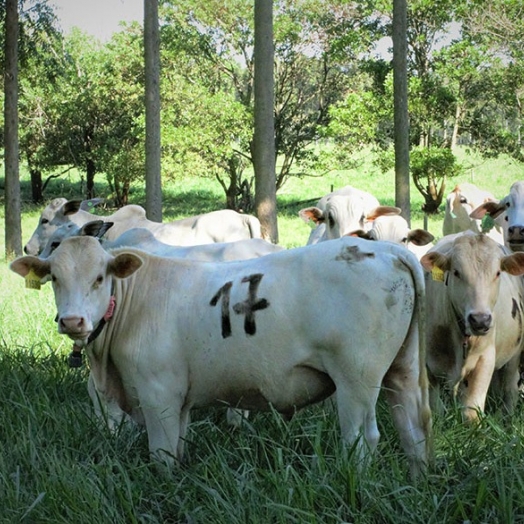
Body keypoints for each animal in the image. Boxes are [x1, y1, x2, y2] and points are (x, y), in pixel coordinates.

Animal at [10, 235, 432, 476]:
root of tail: (388, 249)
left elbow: (163, 456)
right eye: (55, 279)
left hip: (356, 378)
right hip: (402, 370)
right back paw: (417, 481)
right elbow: (178, 448)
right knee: (414, 433)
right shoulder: (178, 399)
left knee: (363, 439)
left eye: (99, 278)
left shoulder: (159, 393)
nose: (72, 320)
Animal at [420, 232, 524, 422]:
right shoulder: (427, 363)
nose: (480, 320)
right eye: (456, 272)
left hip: (514, 356)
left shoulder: (485, 359)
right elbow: (435, 408)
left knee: (510, 389)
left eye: (498, 273)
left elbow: (471, 412)